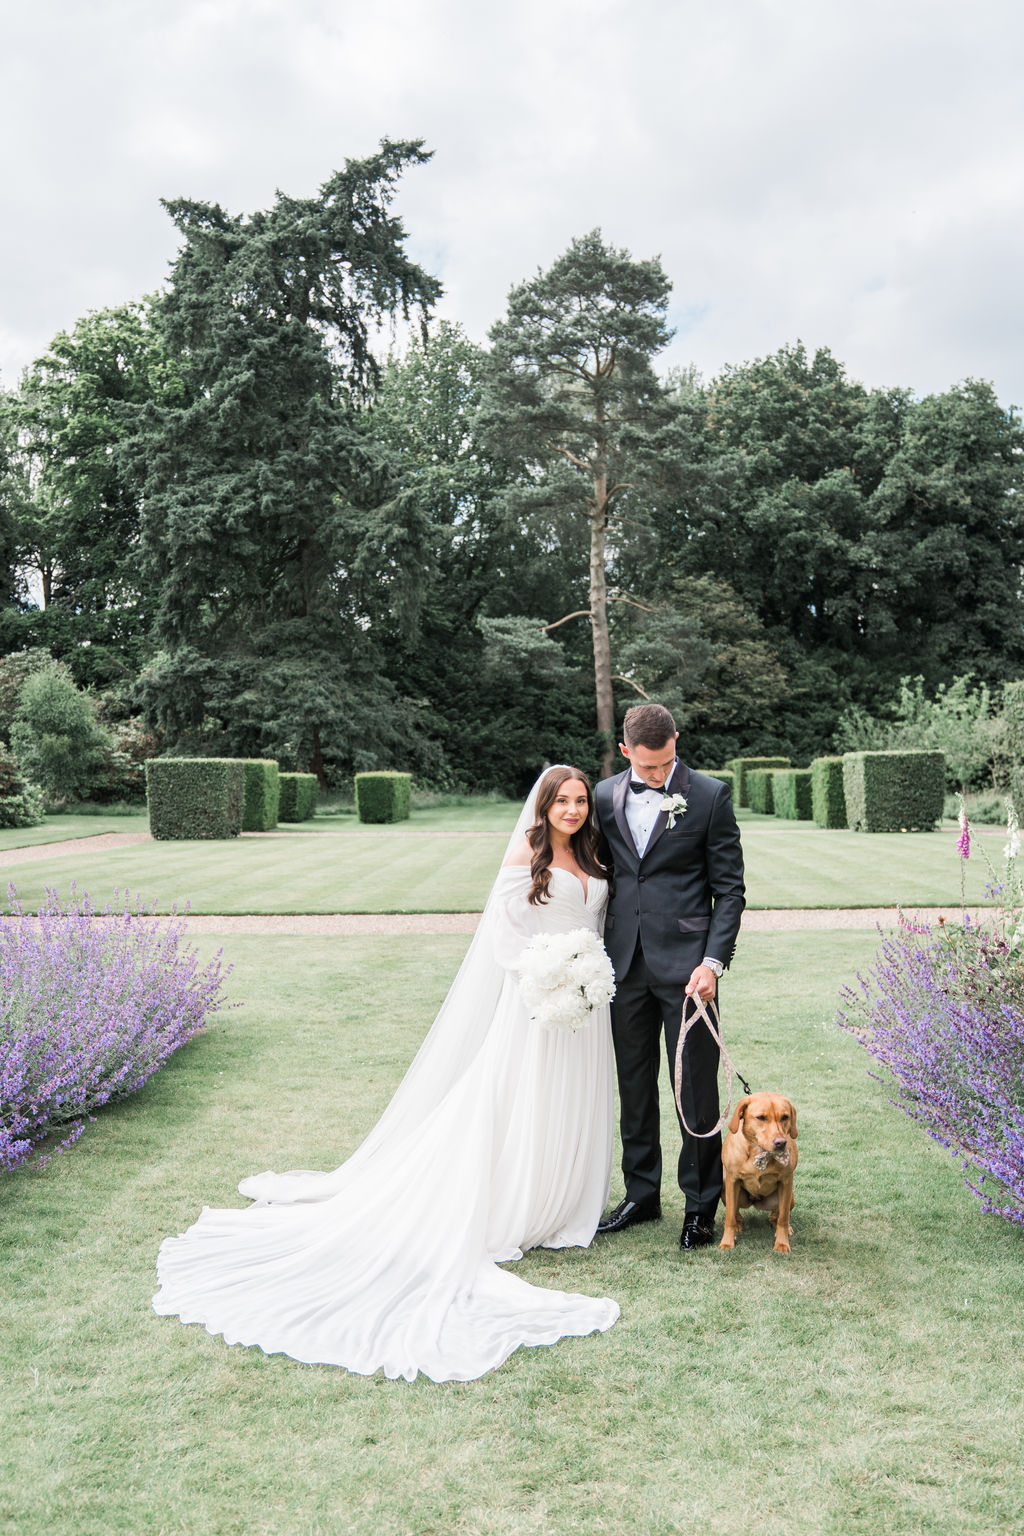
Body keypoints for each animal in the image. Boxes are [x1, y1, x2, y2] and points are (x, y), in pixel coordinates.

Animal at [718, 1087, 798, 1253]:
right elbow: (729, 1217)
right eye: (761, 1117)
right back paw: (738, 1225)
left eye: (785, 1117)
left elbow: (783, 1218)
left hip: (790, 1197)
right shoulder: (732, 1180)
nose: (781, 1143)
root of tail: (756, 1201)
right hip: (725, 1192)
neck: (760, 1152)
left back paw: (784, 1228)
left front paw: (782, 1243)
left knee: (777, 1215)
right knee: (736, 1213)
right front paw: (727, 1241)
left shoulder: (786, 1181)